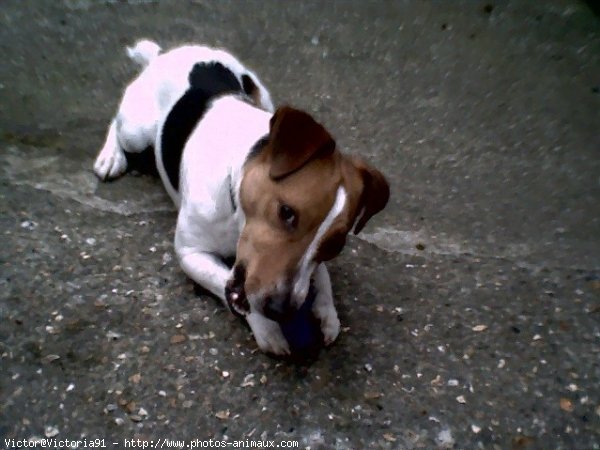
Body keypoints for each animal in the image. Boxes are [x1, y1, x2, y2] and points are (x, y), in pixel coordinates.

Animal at [94, 39, 390, 356]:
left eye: (336, 244)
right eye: (287, 212)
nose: (281, 310)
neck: (236, 205)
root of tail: (165, 54)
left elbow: (321, 275)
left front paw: (327, 312)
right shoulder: (191, 253)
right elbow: (227, 284)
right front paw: (266, 328)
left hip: (263, 94)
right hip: (136, 131)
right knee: (116, 124)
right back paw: (110, 157)